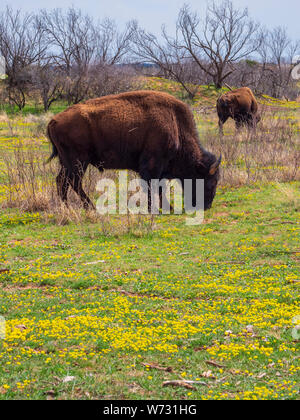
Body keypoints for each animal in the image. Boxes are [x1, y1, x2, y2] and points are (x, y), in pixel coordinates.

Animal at [46, 90, 220, 212]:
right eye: (209, 182)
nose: (206, 206)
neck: (175, 125)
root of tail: (54, 120)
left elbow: (158, 186)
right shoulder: (152, 165)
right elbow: (154, 186)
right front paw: (158, 208)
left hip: (67, 163)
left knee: (62, 181)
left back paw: (67, 207)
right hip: (78, 161)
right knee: (73, 182)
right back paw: (90, 207)